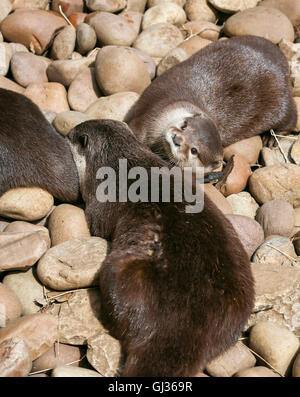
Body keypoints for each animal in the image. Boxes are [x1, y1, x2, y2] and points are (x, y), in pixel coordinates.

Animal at [67, 119, 253, 376]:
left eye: (74, 136)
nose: (67, 131)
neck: (121, 162)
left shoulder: (99, 202)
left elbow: (98, 227)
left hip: (121, 273)